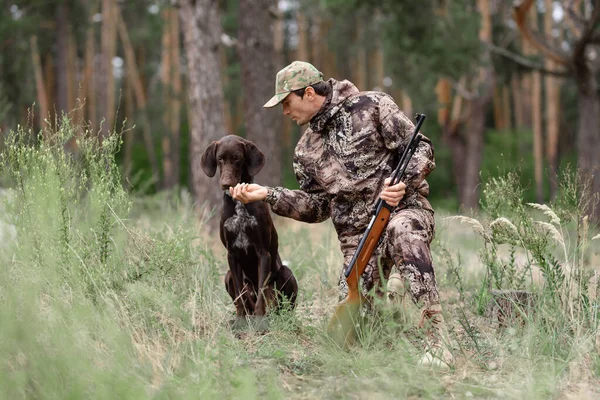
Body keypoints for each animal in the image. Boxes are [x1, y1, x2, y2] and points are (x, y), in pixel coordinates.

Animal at [200, 134, 298, 328]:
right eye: (220, 159)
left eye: (237, 158)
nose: (226, 183)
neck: (239, 204)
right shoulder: (231, 255)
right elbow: (241, 295)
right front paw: (240, 320)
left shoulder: (263, 253)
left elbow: (261, 292)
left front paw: (259, 321)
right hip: (227, 276)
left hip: (286, 273)